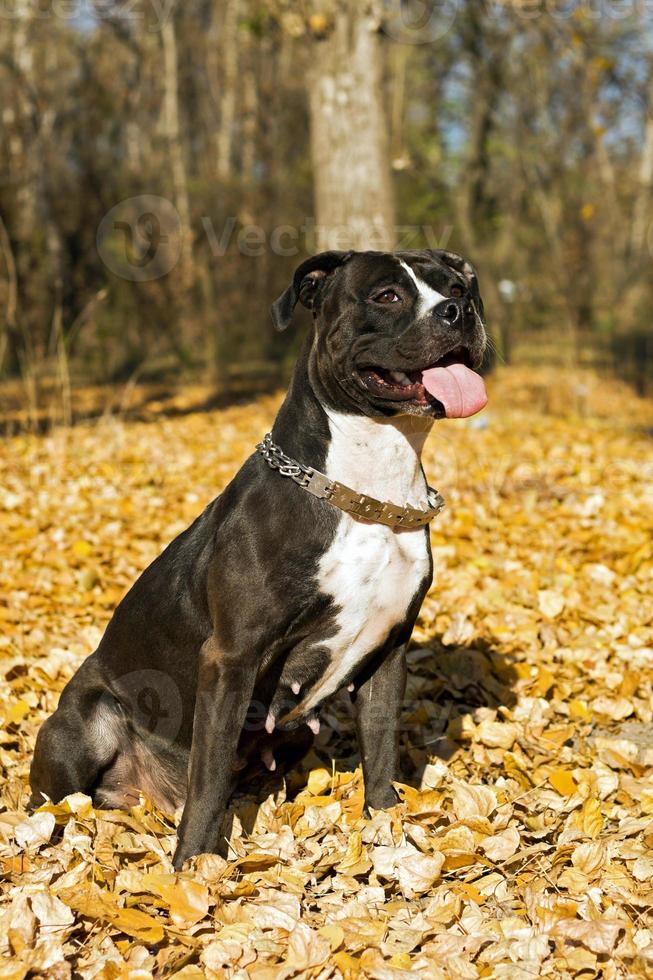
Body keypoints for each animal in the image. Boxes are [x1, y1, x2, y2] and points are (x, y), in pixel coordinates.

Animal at [30, 249, 486, 868]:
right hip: (88, 724)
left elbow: (382, 749)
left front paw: (386, 830)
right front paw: (193, 869)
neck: (365, 489)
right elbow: (208, 780)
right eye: (388, 295)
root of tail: (146, 798)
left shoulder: (389, 650)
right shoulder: (232, 658)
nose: (457, 312)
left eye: (458, 286)